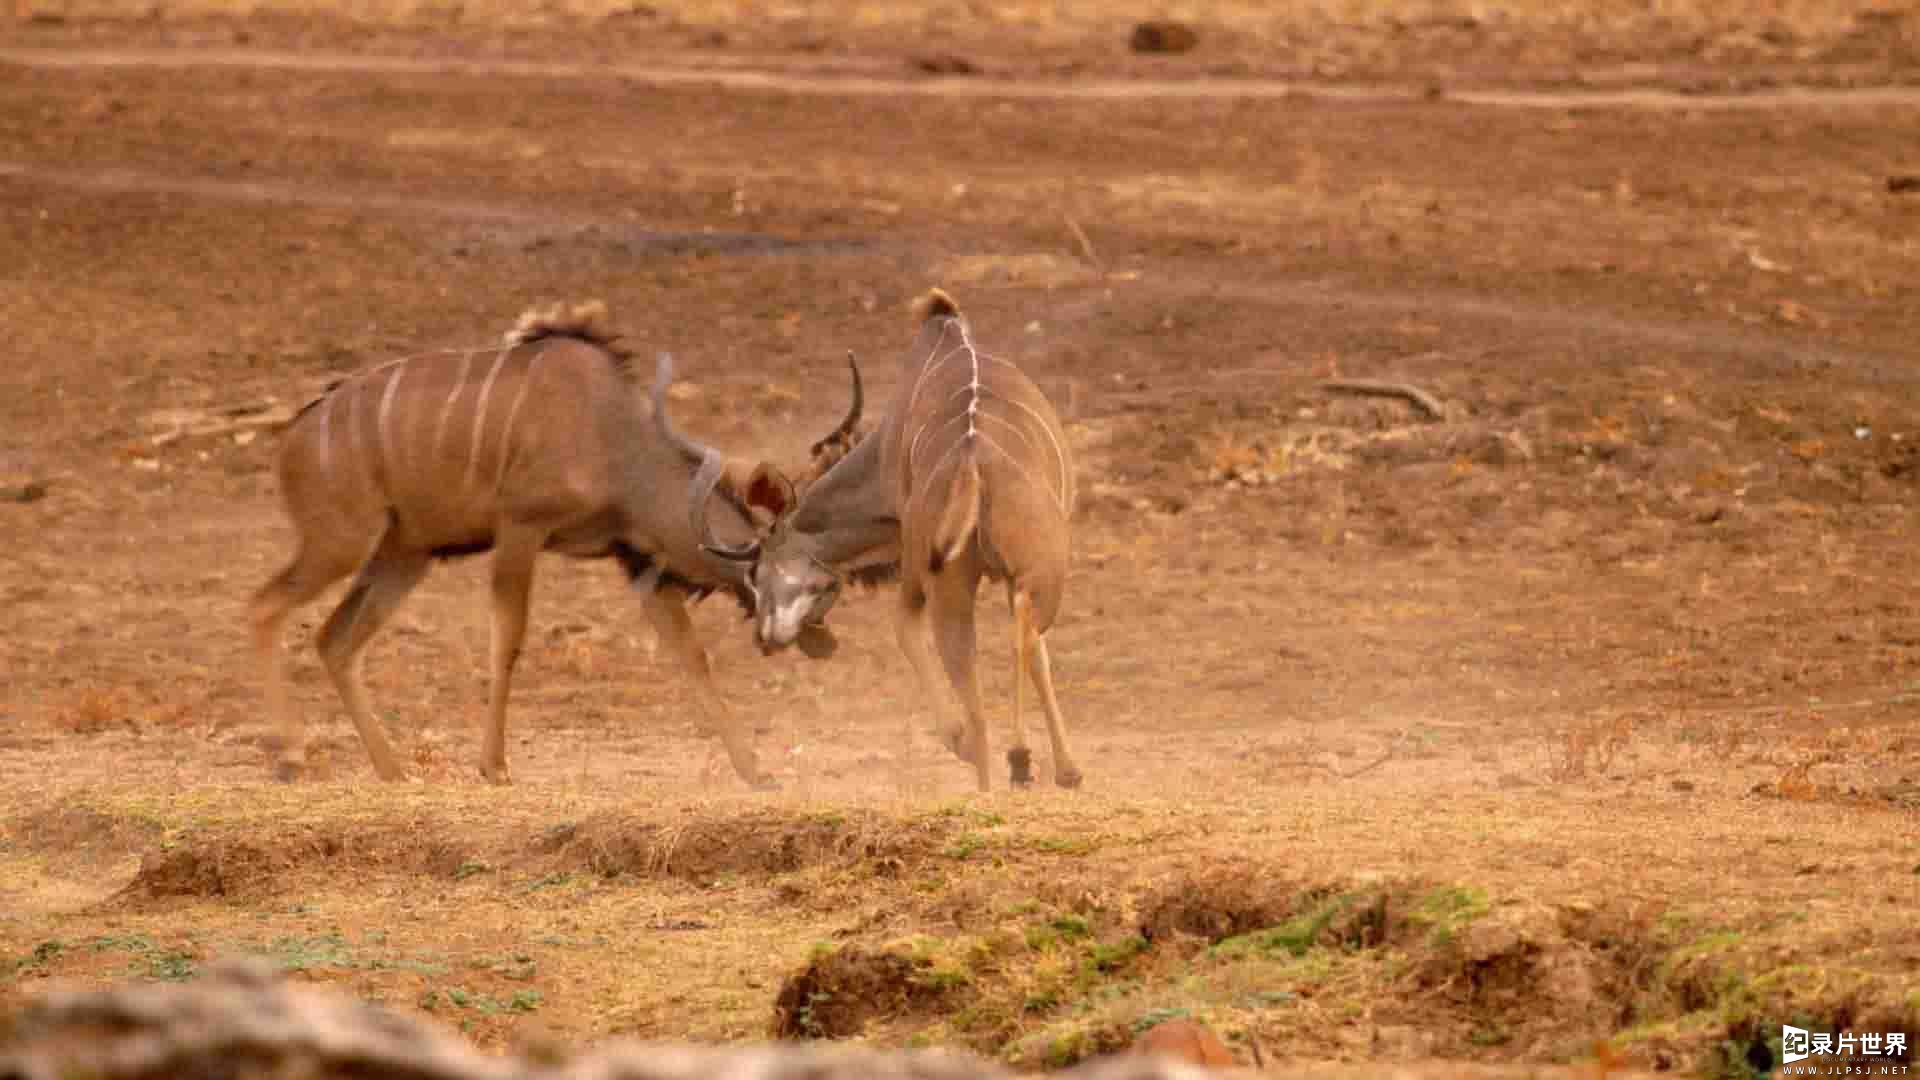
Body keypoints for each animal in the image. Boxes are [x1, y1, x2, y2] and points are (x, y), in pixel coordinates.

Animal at [253, 299, 856, 780]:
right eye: (788, 575)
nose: (821, 639)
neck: (616, 442)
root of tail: (292, 439)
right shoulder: (522, 527)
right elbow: (510, 638)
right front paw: (494, 766)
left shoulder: (635, 558)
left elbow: (691, 655)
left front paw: (756, 773)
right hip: (341, 542)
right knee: (266, 605)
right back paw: (291, 756)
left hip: (405, 554)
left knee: (334, 640)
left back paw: (392, 770)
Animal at [695, 290, 1090, 787]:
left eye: (757, 573)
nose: (765, 639)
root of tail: (973, 462)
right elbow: (1036, 651)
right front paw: (1069, 770)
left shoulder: (911, 562)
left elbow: (902, 628)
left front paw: (958, 739)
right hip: (1027, 572)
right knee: (1021, 631)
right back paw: (1020, 762)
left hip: (943, 579)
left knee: (973, 692)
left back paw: (996, 766)